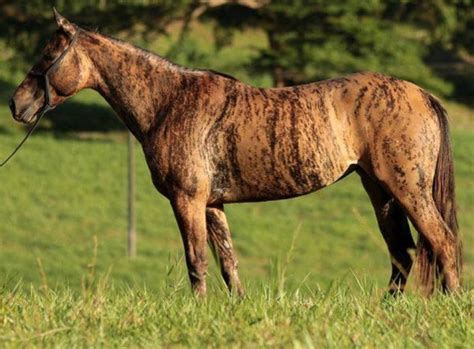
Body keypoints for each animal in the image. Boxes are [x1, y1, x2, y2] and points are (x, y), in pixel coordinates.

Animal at [9, 11, 462, 296]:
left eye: (47, 55)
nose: (17, 104)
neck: (169, 102)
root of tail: (422, 94)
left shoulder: (187, 200)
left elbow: (196, 262)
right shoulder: (213, 204)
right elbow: (229, 264)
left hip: (406, 188)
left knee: (443, 241)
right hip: (380, 190)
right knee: (402, 253)